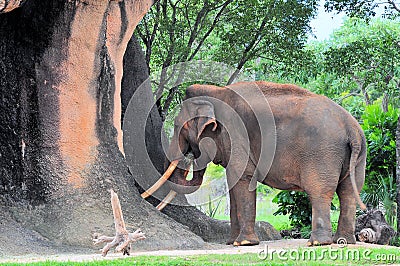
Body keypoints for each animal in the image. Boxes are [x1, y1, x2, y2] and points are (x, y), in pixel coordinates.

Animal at [143, 81, 366, 247]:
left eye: (177, 126)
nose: (190, 155)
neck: (217, 92)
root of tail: (352, 128)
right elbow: (233, 186)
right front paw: (231, 242)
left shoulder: (237, 134)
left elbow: (243, 179)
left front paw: (244, 243)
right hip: (358, 156)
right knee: (349, 192)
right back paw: (344, 241)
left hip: (321, 153)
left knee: (320, 192)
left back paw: (317, 243)